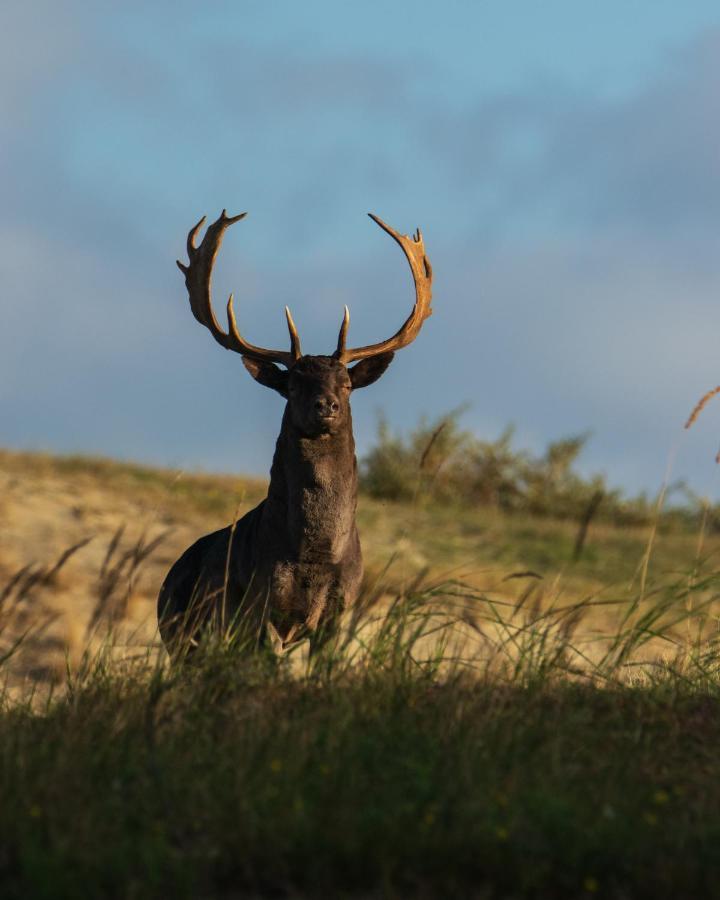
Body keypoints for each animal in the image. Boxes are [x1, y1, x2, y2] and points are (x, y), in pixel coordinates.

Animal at [158, 207, 434, 656]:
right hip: (181, 635)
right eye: (293, 384)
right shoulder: (260, 603)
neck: (313, 556)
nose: (327, 405)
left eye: (346, 383)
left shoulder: (342, 608)